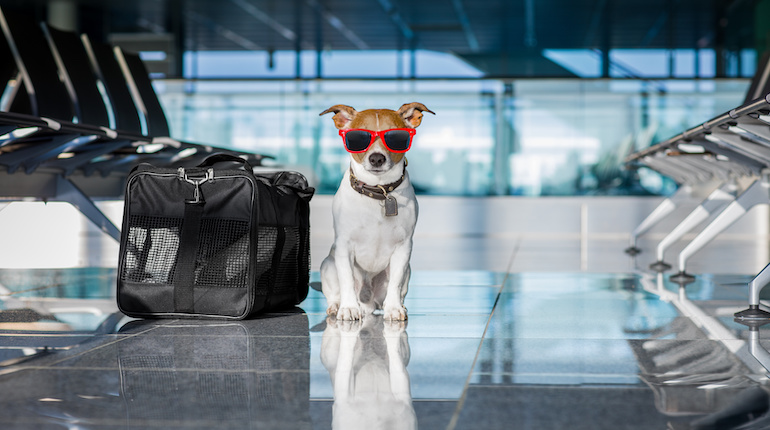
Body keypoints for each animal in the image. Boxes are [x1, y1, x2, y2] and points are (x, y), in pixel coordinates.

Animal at [316, 102, 432, 320]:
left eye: (396, 137)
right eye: (357, 137)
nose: (376, 158)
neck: (379, 190)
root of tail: (368, 303)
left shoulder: (403, 248)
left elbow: (395, 282)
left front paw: (394, 308)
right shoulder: (344, 246)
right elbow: (346, 279)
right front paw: (348, 308)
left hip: (408, 270)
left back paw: (396, 306)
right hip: (328, 264)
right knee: (335, 292)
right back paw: (338, 306)